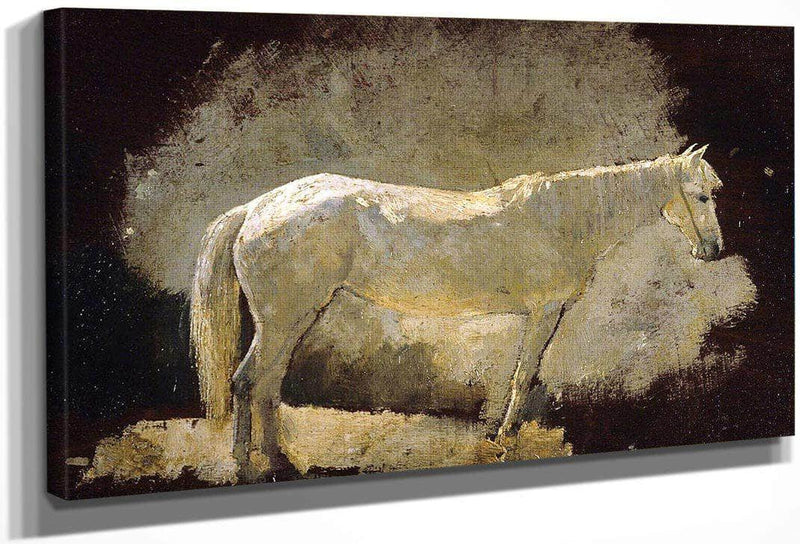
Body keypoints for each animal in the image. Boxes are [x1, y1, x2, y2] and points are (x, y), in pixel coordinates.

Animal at [190, 144, 724, 478]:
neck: (563, 218)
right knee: (251, 382)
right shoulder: (545, 311)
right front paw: (503, 436)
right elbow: (524, 374)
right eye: (702, 195)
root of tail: (257, 207)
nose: (714, 249)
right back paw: (254, 465)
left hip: (293, 319)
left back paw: (269, 461)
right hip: (285, 319)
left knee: (263, 383)